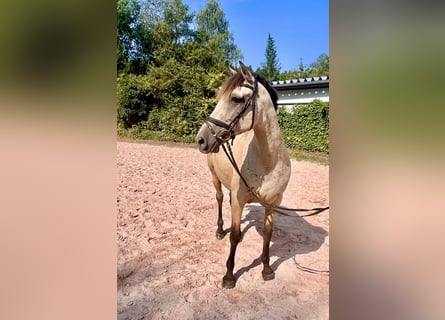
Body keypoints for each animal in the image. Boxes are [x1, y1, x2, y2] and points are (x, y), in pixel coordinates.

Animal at [195, 61, 292, 288]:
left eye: (236, 99)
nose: (201, 139)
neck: (267, 162)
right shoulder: (239, 200)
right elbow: (234, 235)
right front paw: (229, 276)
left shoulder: (273, 203)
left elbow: (267, 235)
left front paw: (267, 269)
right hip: (215, 178)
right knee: (220, 199)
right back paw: (220, 230)